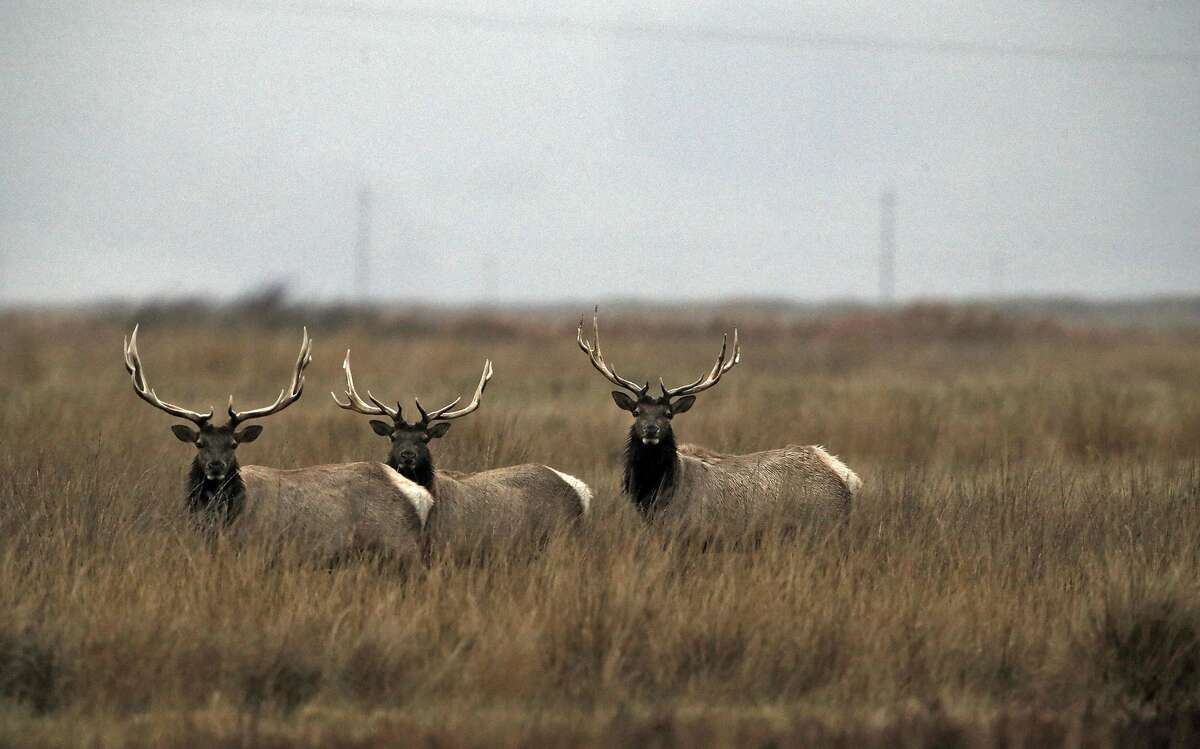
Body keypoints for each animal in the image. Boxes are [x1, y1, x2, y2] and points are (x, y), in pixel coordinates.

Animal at [124, 326, 432, 563]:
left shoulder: (258, 548)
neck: (227, 518)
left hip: (400, 546)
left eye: (233, 444)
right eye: (199, 443)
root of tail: (421, 496)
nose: (215, 466)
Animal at [577, 310, 861, 536]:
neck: (659, 493)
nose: (651, 429)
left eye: (668, 414)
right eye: (636, 411)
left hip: (824, 526)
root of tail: (847, 477)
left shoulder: (695, 531)